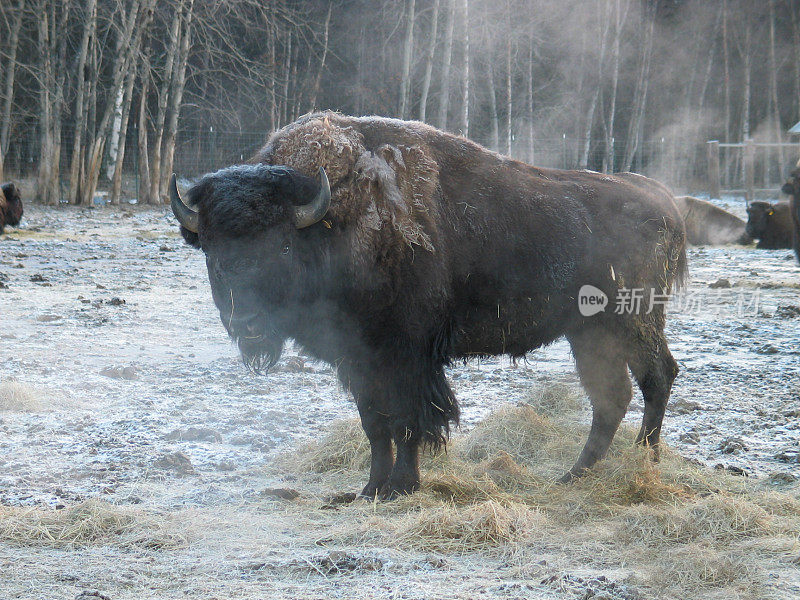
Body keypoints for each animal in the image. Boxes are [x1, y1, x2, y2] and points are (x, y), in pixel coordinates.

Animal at [172, 112, 684, 496]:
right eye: (211, 250)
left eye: (280, 246)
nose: (247, 322)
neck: (331, 225)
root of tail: (662, 201)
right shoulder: (359, 361)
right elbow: (374, 424)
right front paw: (370, 490)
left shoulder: (408, 357)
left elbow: (408, 422)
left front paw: (402, 486)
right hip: (589, 333)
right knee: (611, 397)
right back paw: (572, 476)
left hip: (633, 321)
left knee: (656, 378)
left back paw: (643, 464)